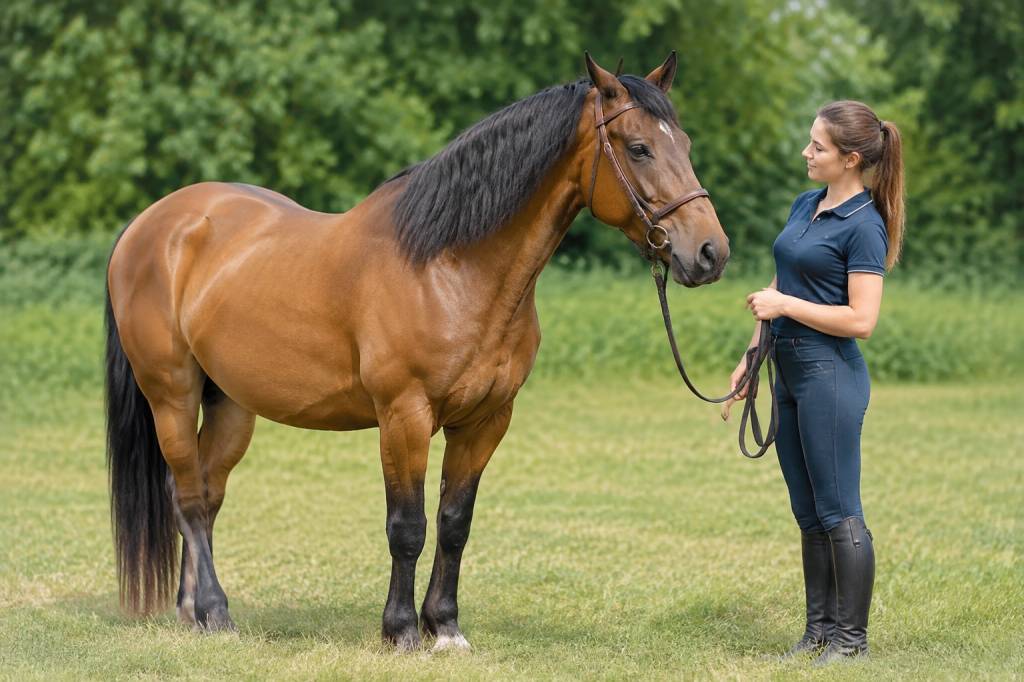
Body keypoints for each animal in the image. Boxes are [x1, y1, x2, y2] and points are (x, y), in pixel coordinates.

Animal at [104, 52, 730, 651]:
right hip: (172, 395)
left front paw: (445, 627)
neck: (448, 267)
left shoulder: (485, 420)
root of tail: (150, 226)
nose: (710, 252)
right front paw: (401, 630)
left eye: (686, 146)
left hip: (232, 403)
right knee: (187, 495)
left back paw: (193, 613)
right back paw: (216, 613)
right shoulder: (403, 417)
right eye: (639, 147)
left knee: (206, 494)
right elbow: (407, 526)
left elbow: (455, 522)